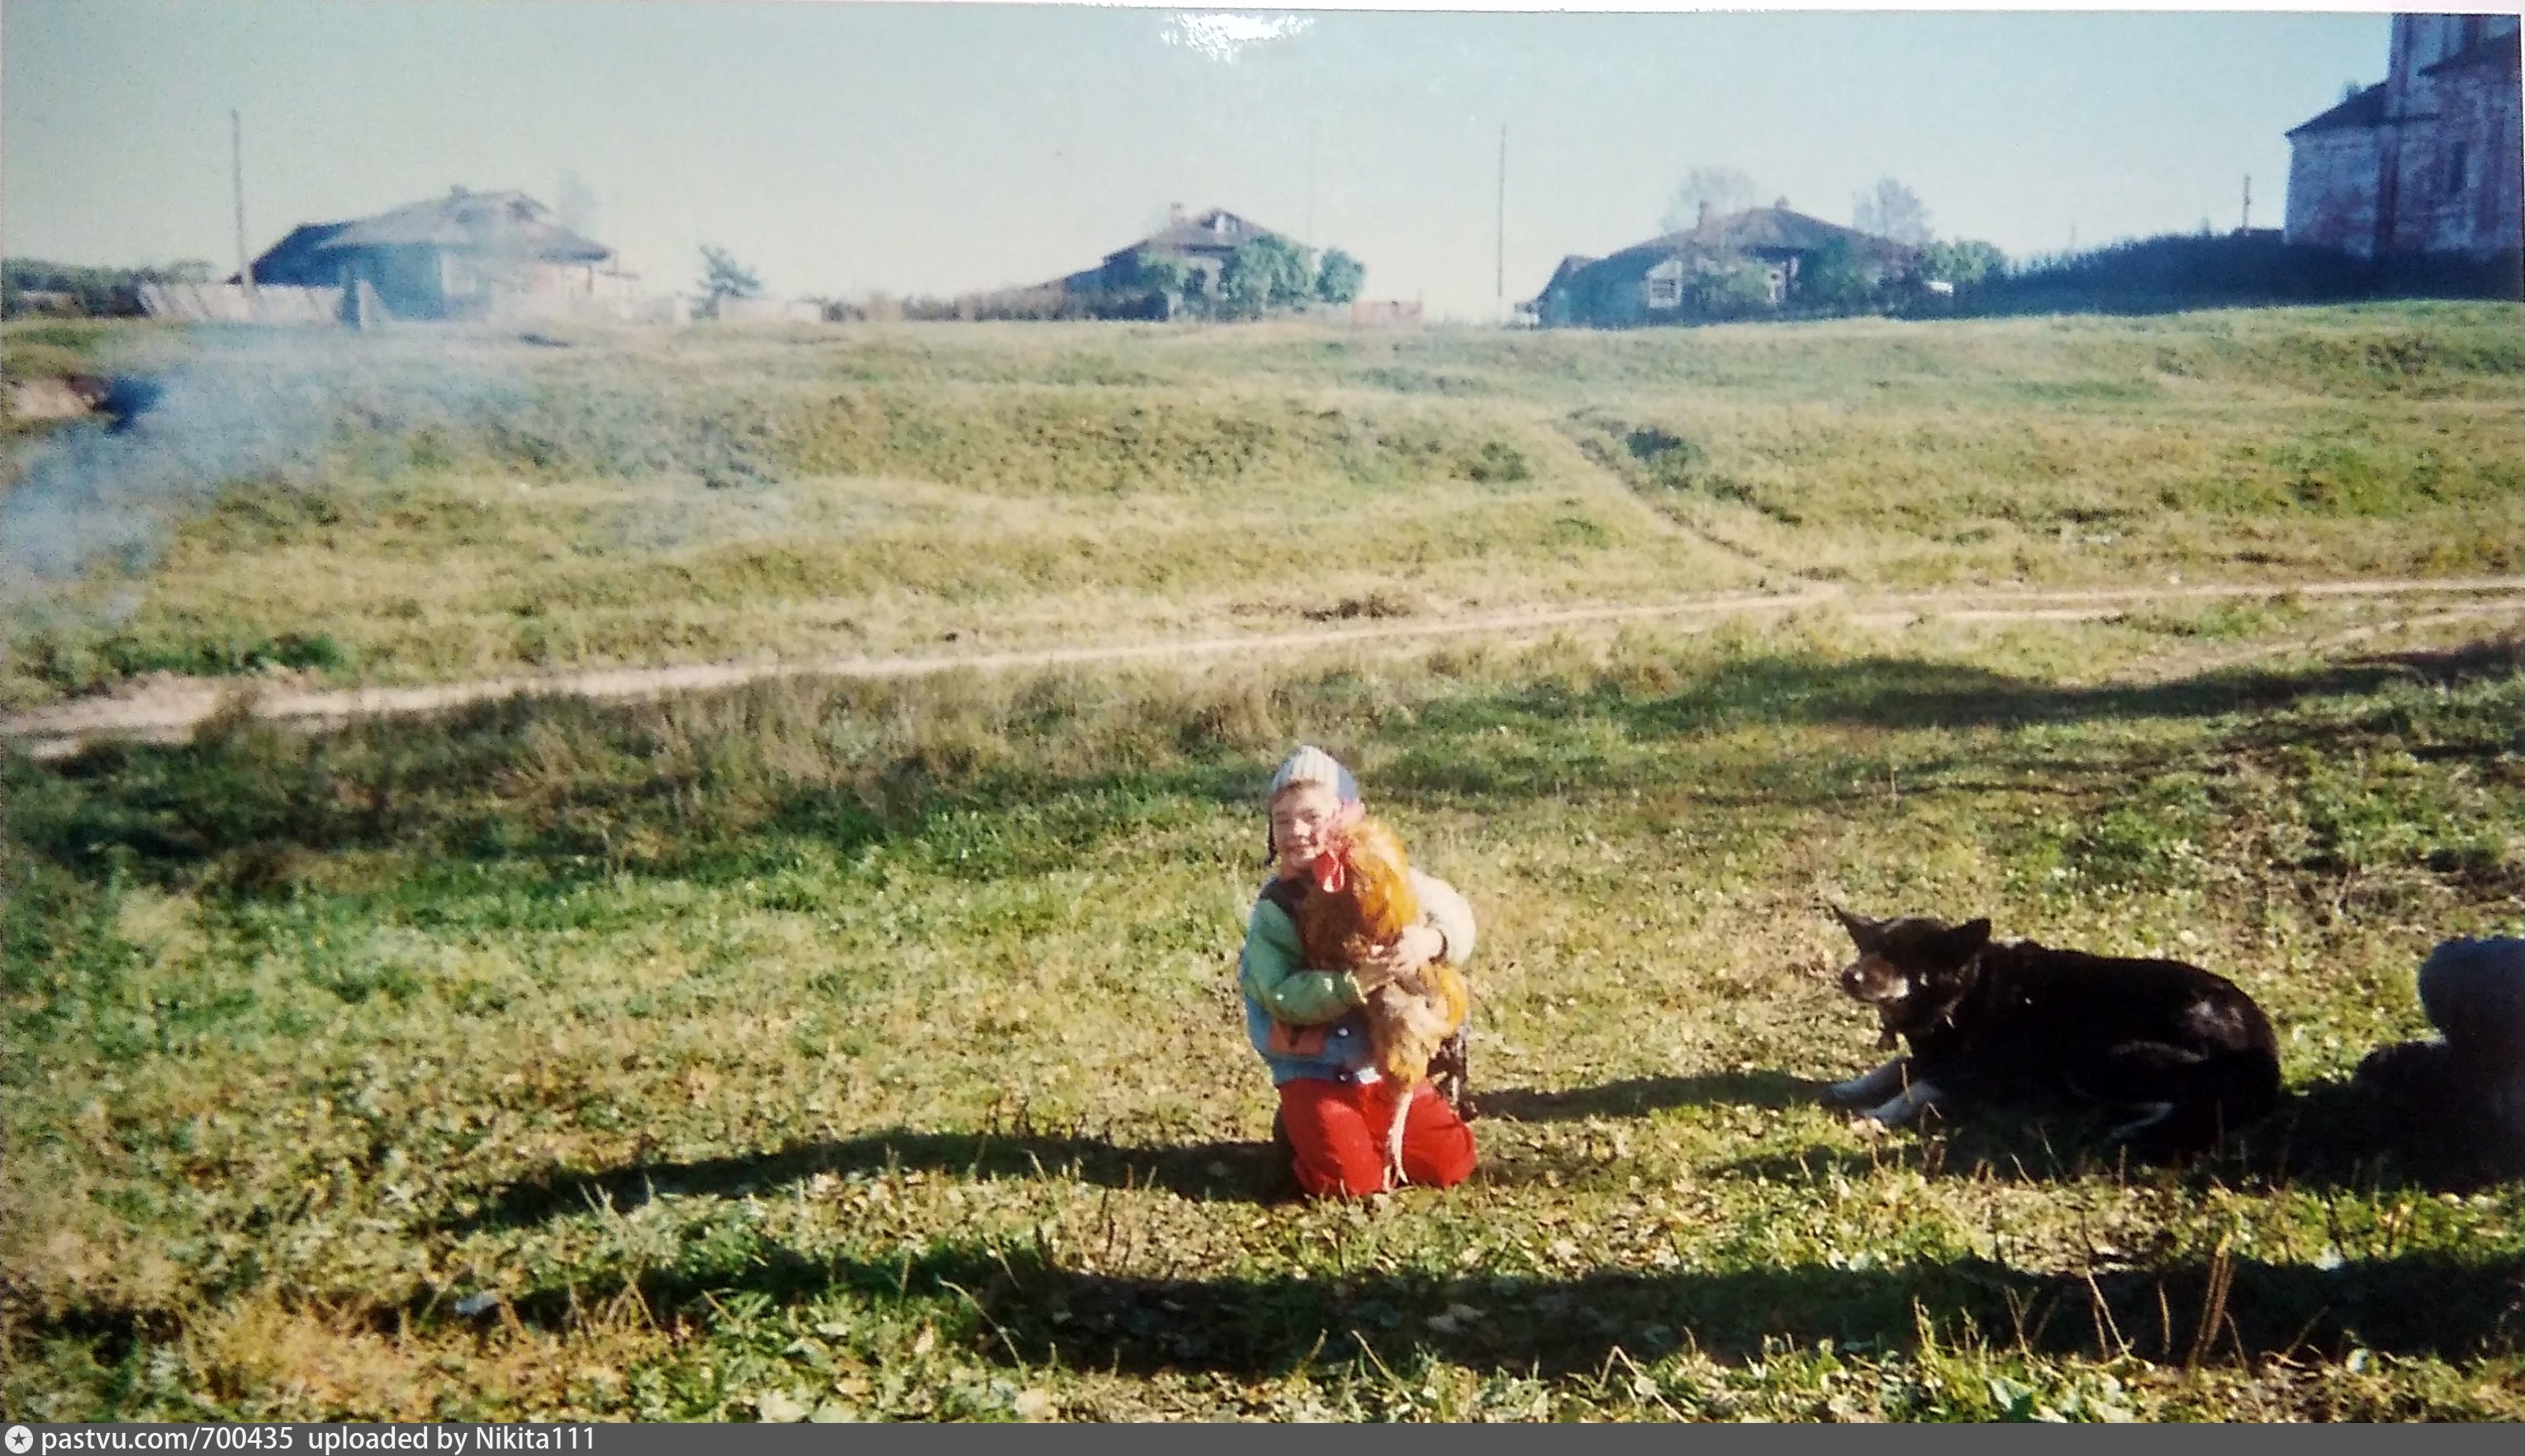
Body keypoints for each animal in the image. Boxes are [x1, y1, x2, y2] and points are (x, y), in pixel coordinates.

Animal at [1828, 903, 2282, 1150]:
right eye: (1869, 949)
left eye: (1901, 957)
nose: (1848, 976)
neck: (1967, 990)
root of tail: (2266, 1047)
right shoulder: (1933, 1056)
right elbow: (1894, 1067)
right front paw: (1846, 1088)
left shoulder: (1977, 1076)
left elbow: (1916, 1088)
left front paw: (1873, 1117)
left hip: (2096, 1057)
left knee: (2195, 1106)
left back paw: (2128, 1127)